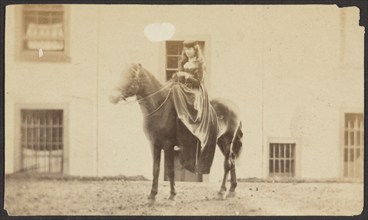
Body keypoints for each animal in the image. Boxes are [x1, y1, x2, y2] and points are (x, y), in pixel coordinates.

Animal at [108, 63, 242, 203]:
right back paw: (232, 190)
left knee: (227, 164)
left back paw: (221, 192)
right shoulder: (154, 144)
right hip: (221, 141)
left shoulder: (168, 145)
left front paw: (172, 195)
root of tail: (233, 105)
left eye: (132, 76)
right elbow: (156, 170)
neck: (159, 107)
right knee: (232, 161)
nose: (111, 96)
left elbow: (170, 170)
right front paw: (152, 196)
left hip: (227, 140)